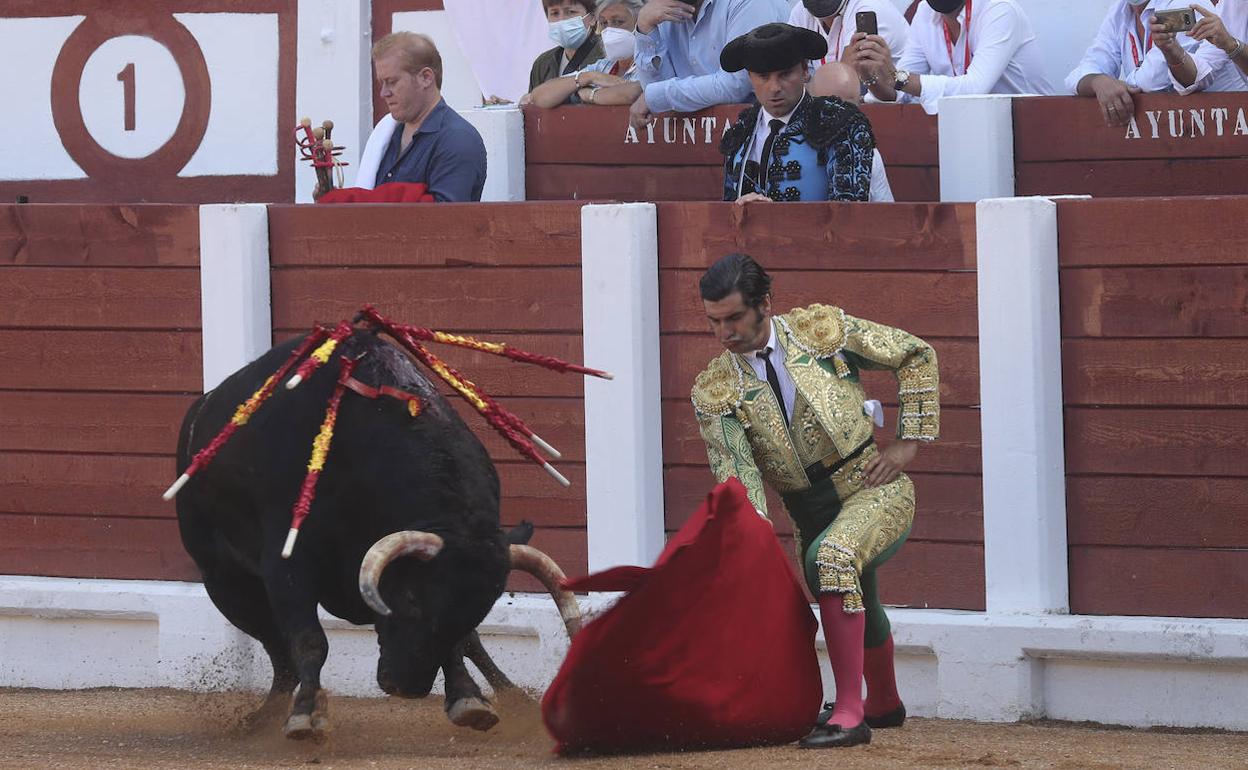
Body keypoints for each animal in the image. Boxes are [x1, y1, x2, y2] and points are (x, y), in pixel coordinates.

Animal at [173, 331, 576, 738]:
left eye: (483, 608)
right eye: (411, 598)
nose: (407, 687)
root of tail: (201, 408)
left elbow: (462, 641)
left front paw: (468, 699)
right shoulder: (287, 564)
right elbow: (309, 640)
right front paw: (305, 716)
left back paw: (514, 698)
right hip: (224, 580)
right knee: (277, 648)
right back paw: (267, 716)